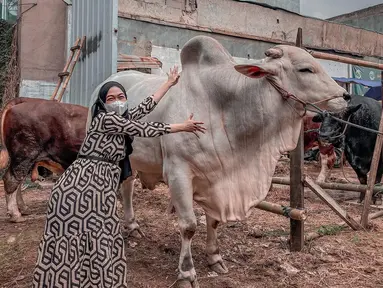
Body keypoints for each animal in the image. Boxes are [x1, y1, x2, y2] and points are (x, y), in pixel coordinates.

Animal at [91, 35, 352, 286]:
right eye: (305, 69)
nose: (346, 96)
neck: (224, 107)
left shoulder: (218, 178)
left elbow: (214, 221)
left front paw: (215, 258)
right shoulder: (178, 173)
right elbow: (188, 226)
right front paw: (186, 272)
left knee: (127, 187)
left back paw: (133, 227)